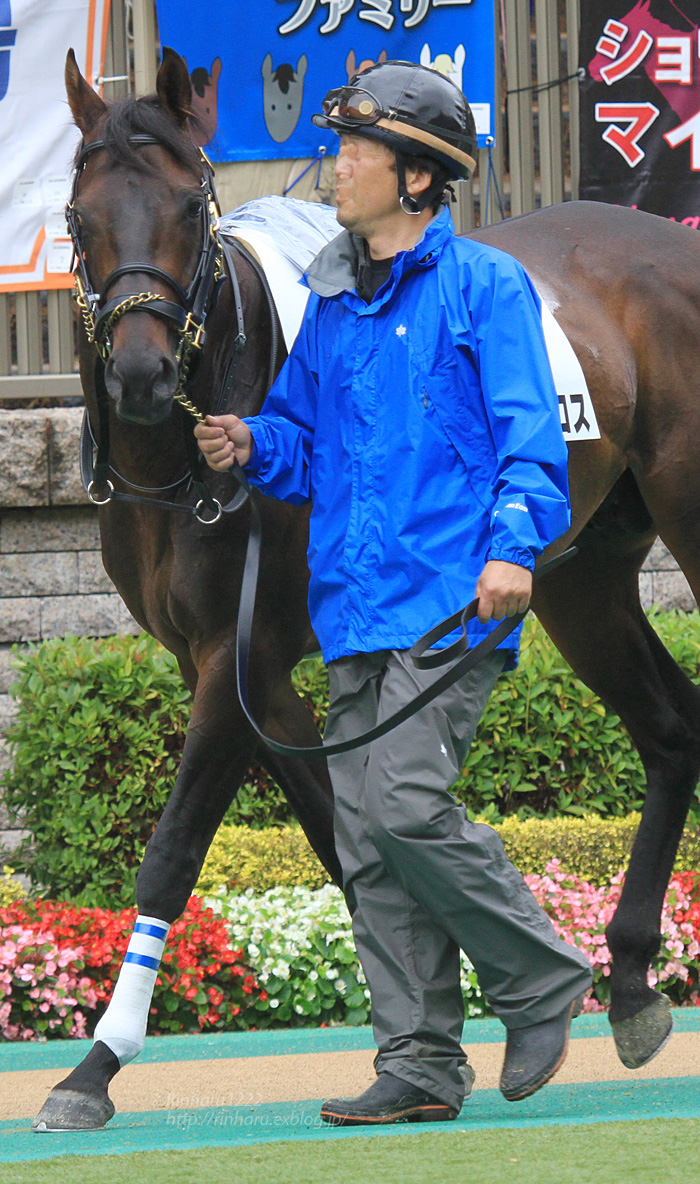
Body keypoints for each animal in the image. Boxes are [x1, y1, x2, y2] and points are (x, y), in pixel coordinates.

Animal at [34, 53, 700, 1127]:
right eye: (78, 214)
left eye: (187, 206)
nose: (138, 375)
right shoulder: (253, 675)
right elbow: (340, 841)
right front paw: (434, 1035)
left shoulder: (238, 659)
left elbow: (174, 848)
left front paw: (94, 1066)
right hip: (583, 574)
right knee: (671, 728)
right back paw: (634, 981)